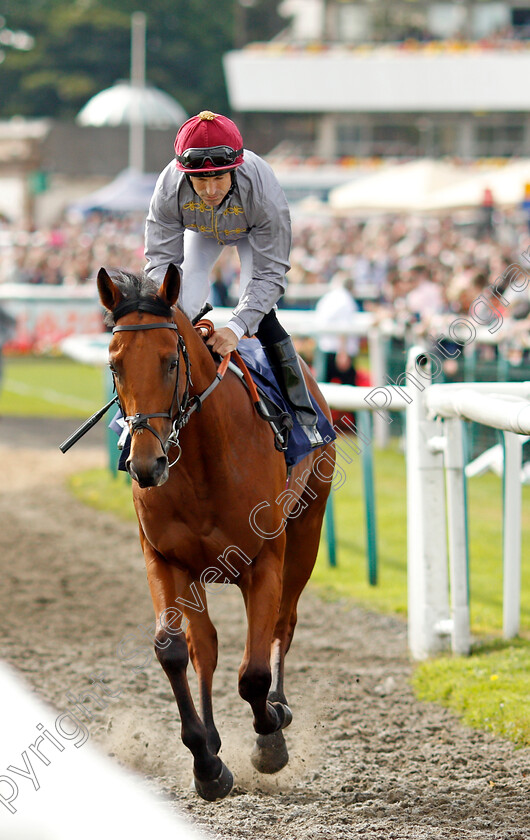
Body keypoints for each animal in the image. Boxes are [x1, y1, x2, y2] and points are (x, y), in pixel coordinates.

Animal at [97, 262, 332, 800]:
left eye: (169, 361)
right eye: (116, 365)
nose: (145, 464)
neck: (203, 460)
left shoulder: (264, 561)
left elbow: (253, 675)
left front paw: (270, 741)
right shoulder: (164, 557)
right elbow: (174, 650)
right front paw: (206, 761)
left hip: (307, 531)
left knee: (284, 624)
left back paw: (279, 711)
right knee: (205, 648)